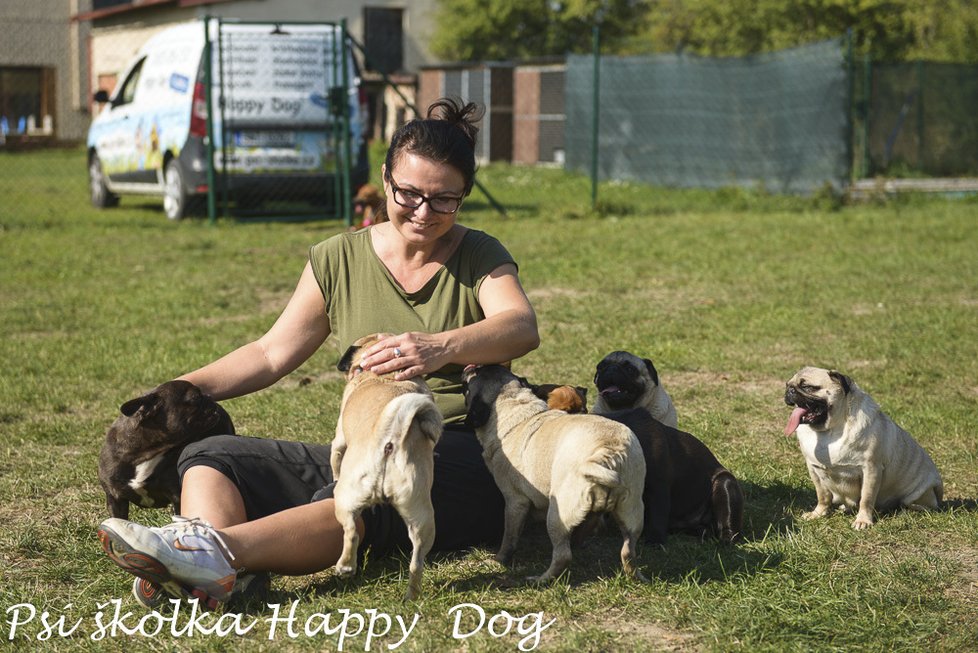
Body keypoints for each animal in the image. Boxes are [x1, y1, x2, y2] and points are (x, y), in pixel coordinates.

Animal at [334, 334, 444, 600]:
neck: (384, 375)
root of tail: (390, 440)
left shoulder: (338, 440)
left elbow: (335, 459)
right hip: (421, 517)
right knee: (417, 561)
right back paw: (411, 596)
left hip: (343, 497)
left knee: (351, 530)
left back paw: (345, 566)